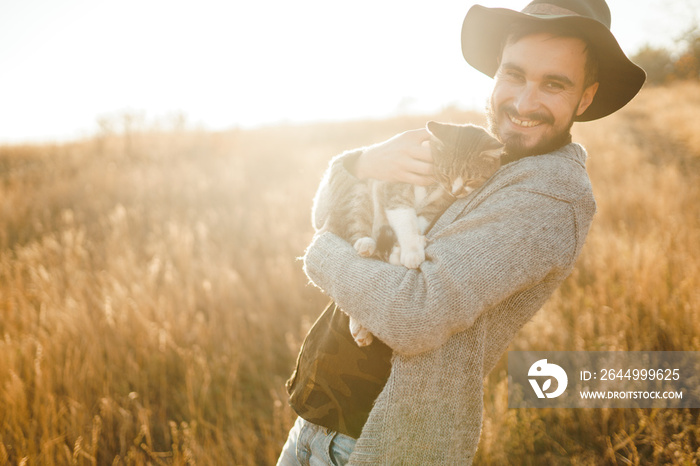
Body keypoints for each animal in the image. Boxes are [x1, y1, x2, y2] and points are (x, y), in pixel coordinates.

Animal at [328, 122, 504, 348]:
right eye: (446, 175)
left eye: (471, 179)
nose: (456, 192)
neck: (434, 184)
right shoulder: (397, 188)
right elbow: (405, 220)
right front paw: (411, 251)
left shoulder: (436, 205)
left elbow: (419, 222)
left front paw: (410, 247)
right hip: (358, 193)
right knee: (356, 222)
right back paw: (365, 244)